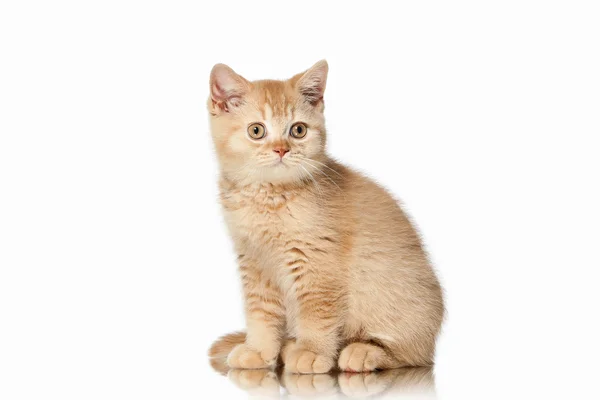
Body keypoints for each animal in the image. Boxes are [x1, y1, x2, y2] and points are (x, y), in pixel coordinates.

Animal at [209, 61, 442, 374]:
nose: (281, 149)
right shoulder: (254, 263)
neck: (269, 198)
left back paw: (362, 351)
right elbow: (260, 312)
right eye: (256, 130)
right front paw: (259, 350)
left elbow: (317, 311)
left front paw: (312, 352)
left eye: (298, 130)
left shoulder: (318, 264)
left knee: (413, 354)